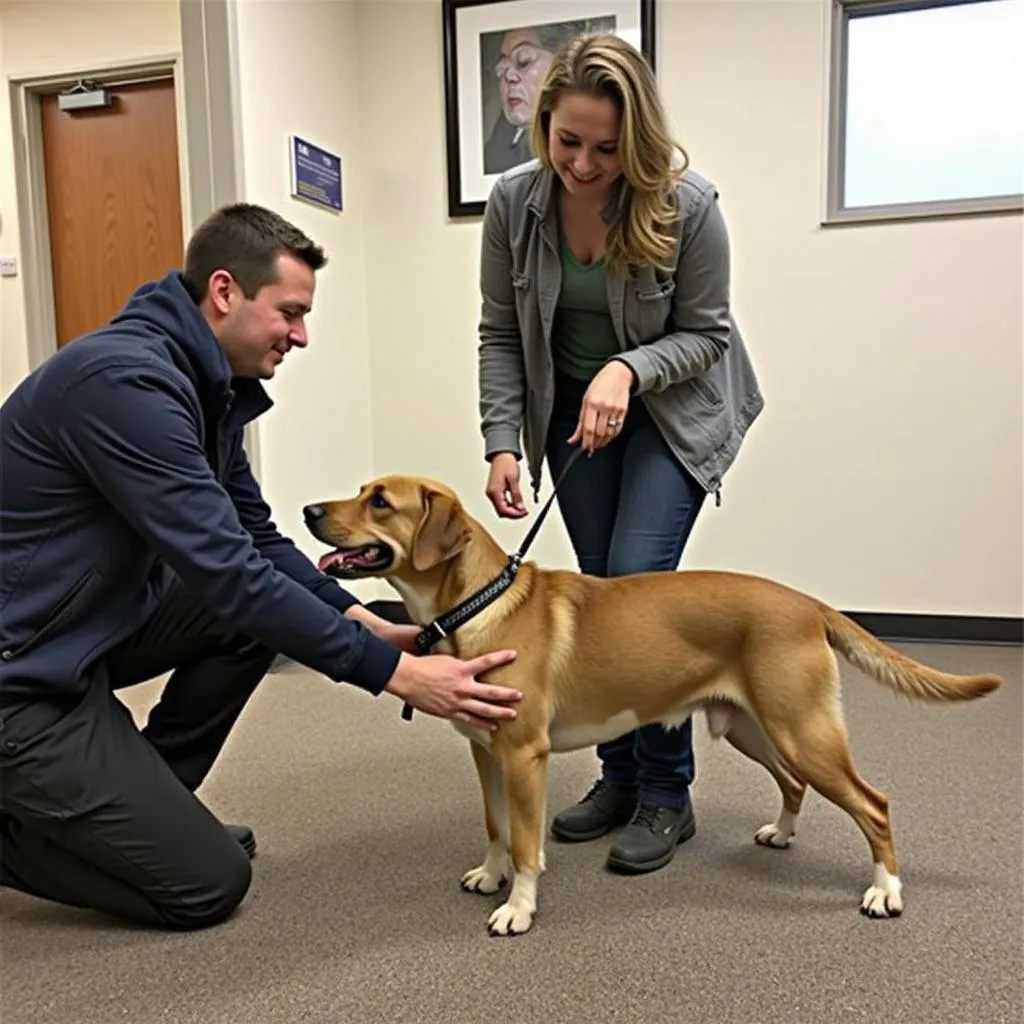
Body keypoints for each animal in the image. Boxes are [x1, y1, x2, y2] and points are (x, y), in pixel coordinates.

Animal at [301, 473, 999, 937]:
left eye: (380, 501)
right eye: (363, 491)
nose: (308, 509)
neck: (473, 607)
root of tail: (808, 602)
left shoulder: (524, 756)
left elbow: (526, 843)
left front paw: (518, 906)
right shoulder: (485, 753)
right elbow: (497, 827)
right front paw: (490, 875)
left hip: (803, 730)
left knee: (873, 804)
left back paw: (885, 891)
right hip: (754, 728)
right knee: (794, 783)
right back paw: (781, 833)